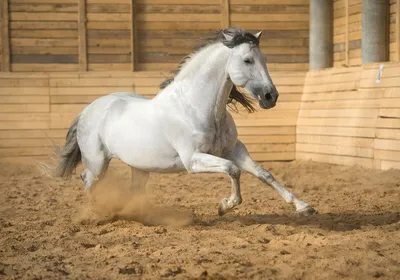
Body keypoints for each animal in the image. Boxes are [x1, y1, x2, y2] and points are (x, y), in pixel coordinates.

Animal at [43, 27, 318, 217]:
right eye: (247, 60)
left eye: (265, 59)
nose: (271, 96)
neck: (195, 107)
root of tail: (87, 110)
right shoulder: (193, 160)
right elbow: (233, 170)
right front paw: (225, 206)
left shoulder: (234, 150)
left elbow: (264, 174)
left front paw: (304, 207)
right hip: (98, 162)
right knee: (88, 180)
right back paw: (97, 213)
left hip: (140, 166)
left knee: (132, 190)